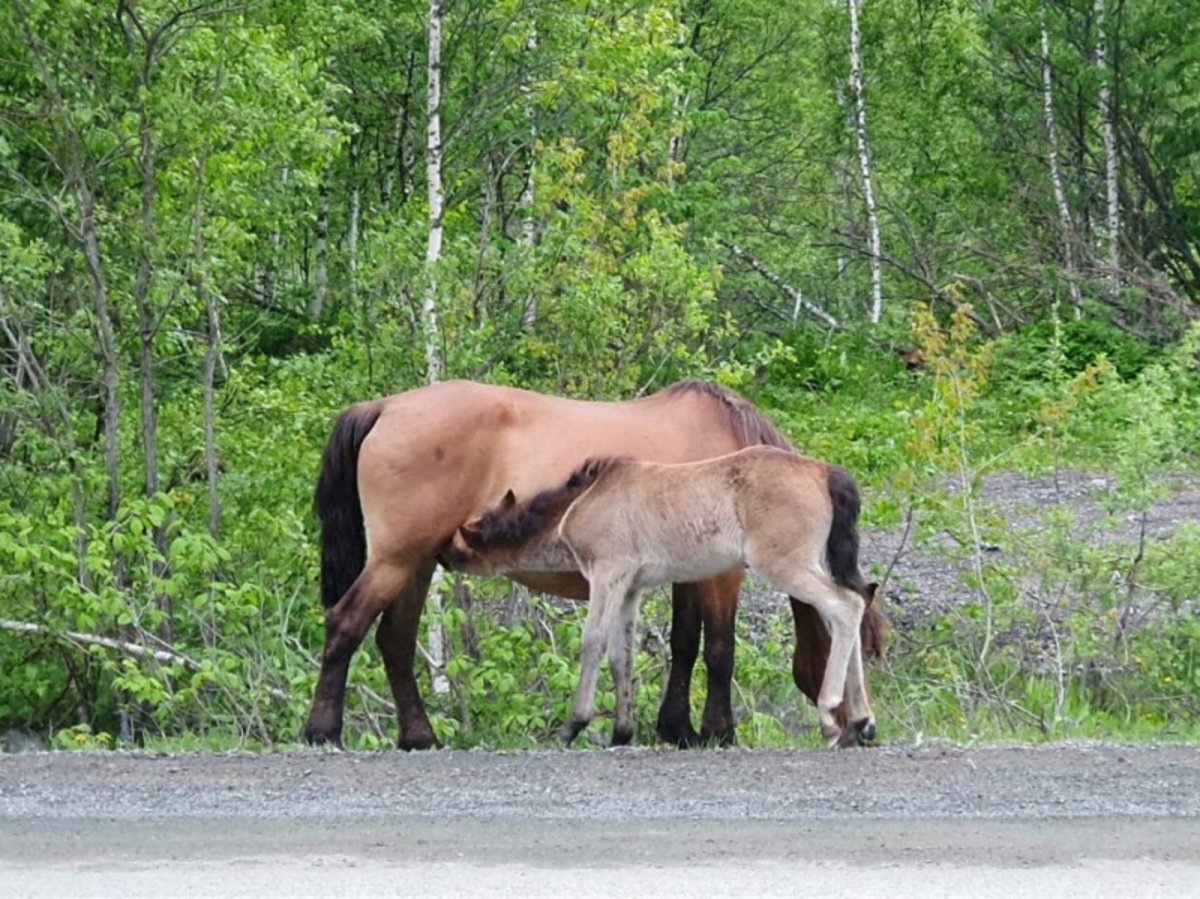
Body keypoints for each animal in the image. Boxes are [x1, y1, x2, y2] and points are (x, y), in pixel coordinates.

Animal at [445, 447, 878, 749]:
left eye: (462, 545)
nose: (441, 556)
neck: (578, 505)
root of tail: (825, 472)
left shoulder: (608, 573)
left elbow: (593, 642)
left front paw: (574, 725)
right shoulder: (631, 588)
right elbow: (623, 656)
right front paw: (622, 732)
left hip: (785, 563)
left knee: (846, 607)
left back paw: (830, 717)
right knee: (854, 604)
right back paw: (861, 720)